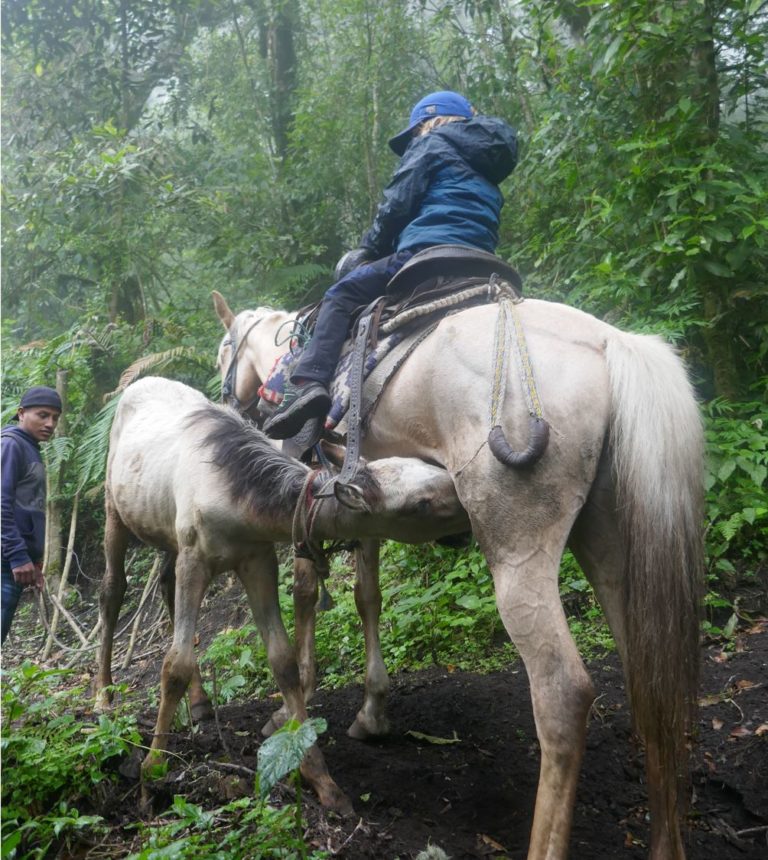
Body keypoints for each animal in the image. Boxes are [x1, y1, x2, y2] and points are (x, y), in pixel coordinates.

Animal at [96, 376, 468, 812]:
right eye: (421, 504)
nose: (467, 503)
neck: (235, 496)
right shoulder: (195, 559)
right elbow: (175, 665)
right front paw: (151, 772)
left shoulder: (257, 561)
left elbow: (283, 660)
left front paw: (321, 779)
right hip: (115, 512)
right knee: (112, 592)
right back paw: (102, 697)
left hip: (167, 536)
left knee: (166, 588)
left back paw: (201, 701)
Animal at [213, 290, 704, 860]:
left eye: (223, 350)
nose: (229, 399)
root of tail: (609, 342)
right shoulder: (365, 505)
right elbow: (367, 596)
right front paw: (373, 711)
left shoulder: (311, 491)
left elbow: (306, 593)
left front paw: (295, 708)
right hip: (611, 547)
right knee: (650, 681)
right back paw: (665, 843)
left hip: (518, 553)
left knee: (562, 694)